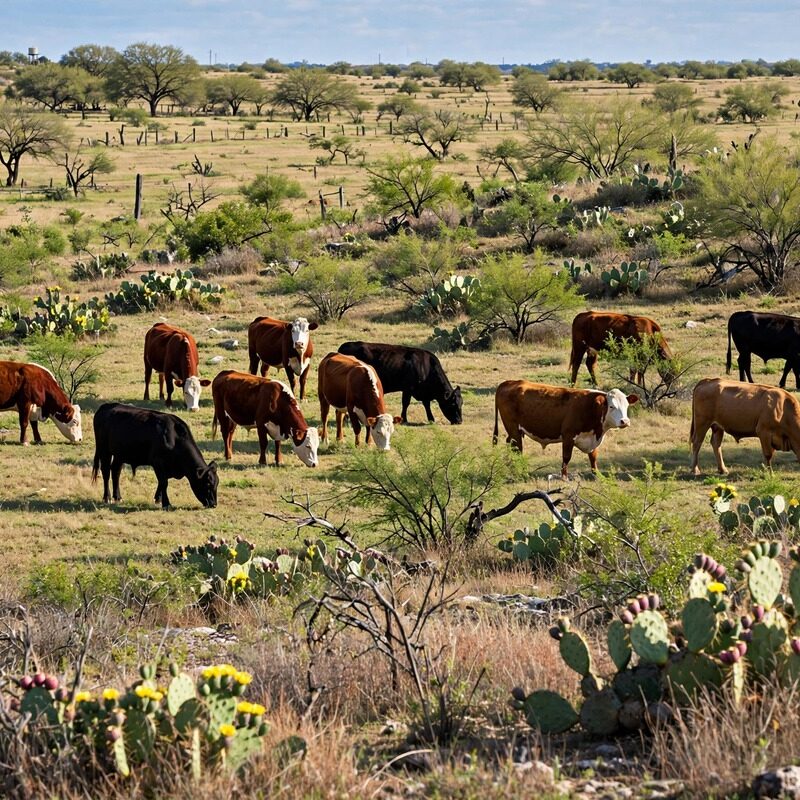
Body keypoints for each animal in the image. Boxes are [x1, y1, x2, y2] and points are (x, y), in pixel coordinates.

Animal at [493, 380, 638, 478]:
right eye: (612, 406)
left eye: (626, 405)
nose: (625, 421)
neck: (591, 407)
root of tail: (508, 382)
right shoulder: (568, 435)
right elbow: (566, 457)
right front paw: (564, 477)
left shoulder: (592, 438)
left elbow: (593, 457)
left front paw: (596, 475)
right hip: (513, 428)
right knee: (517, 449)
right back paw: (520, 471)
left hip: (513, 430)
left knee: (510, 444)